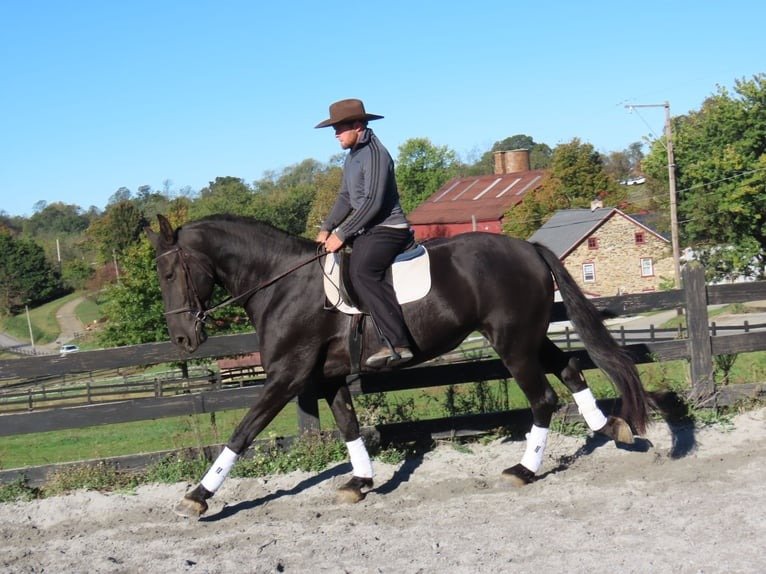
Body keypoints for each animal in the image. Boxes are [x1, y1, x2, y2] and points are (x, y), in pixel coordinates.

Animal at [145, 213, 650, 518]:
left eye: (169, 274)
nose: (183, 340)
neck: (281, 286)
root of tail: (528, 248)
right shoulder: (327, 378)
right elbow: (349, 426)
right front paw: (360, 482)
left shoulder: (288, 377)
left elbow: (242, 432)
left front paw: (198, 497)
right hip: (527, 337)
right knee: (570, 369)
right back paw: (612, 427)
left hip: (513, 345)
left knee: (543, 398)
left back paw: (523, 471)